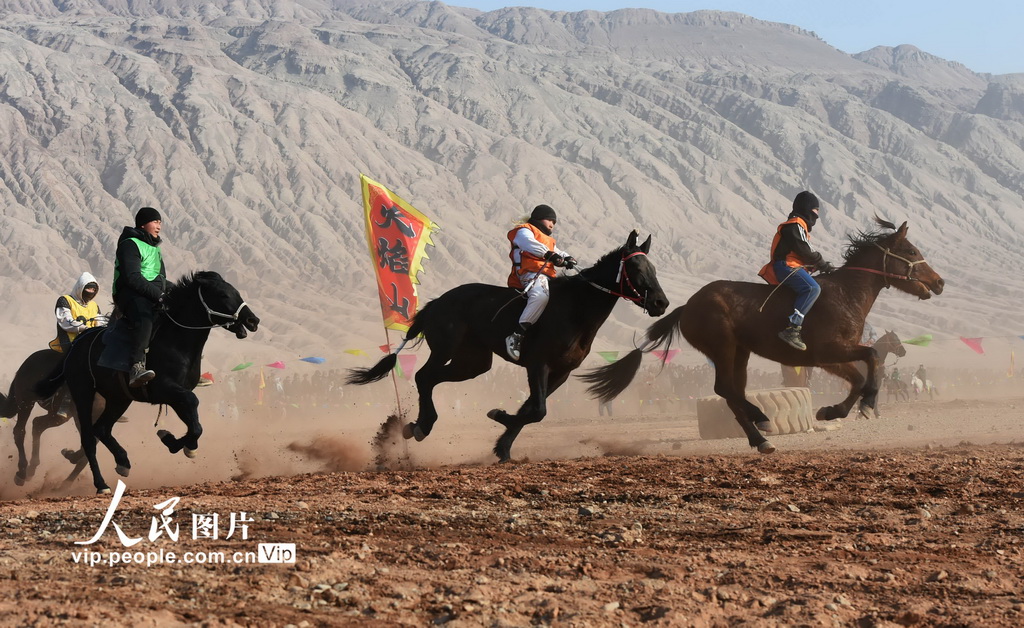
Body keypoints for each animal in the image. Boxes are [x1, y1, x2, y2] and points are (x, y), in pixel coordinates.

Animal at [36, 272, 260, 491]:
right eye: (223, 295)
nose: (253, 320)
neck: (175, 341)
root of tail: (76, 346)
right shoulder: (165, 389)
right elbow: (193, 409)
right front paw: (175, 441)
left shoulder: (176, 394)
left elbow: (194, 423)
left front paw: (175, 442)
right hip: (83, 393)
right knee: (89, 438)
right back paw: (101, 484)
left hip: (119, 399)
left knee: (102, 428)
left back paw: (123, 462)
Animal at [350, 230, 671, 461]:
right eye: (635, 266)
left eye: (654, 267)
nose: (661, 302)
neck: (575, 309)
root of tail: (436, 303)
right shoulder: (538, 364)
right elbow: (538, 410)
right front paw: (500, 418)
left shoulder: (560, 372)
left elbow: (531, 409)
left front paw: (503, 446)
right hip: (445, 349)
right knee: (423, 376)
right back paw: (421, 426)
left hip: (473, 363)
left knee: (432, 378)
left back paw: (414, 426)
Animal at [585, 218, 942, 452]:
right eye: (911, 250)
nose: (939, 282)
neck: (847, 293)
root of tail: (687, 306)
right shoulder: (828, 352)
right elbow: (869, 362)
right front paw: (854, 407)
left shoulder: (831, 357)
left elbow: (863, 370)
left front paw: (846, 408)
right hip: (723, 348)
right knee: (725, 389)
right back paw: (760, 433)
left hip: (740, 352)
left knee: (734, 390)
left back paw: (760, 425)